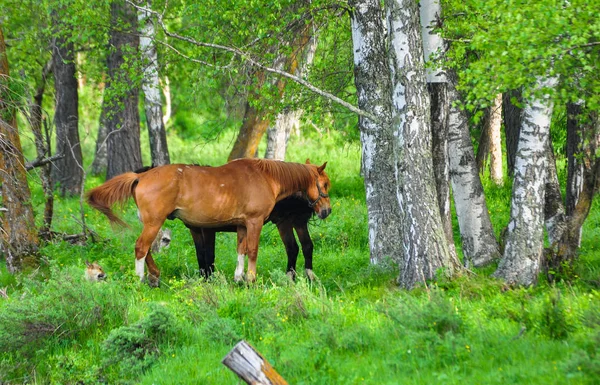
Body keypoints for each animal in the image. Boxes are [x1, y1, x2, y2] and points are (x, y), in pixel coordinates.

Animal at [86, 157, 330, 284]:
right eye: (325, 184)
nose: (327, 210)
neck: (265, 177)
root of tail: (141, 176)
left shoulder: (241, 225)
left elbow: (240, 251)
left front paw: (239, 277)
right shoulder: (254, 222)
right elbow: (251, 251)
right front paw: (251, 280)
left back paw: (153, 274)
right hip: (154, 223)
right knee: (141, 248)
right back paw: (141, 279)